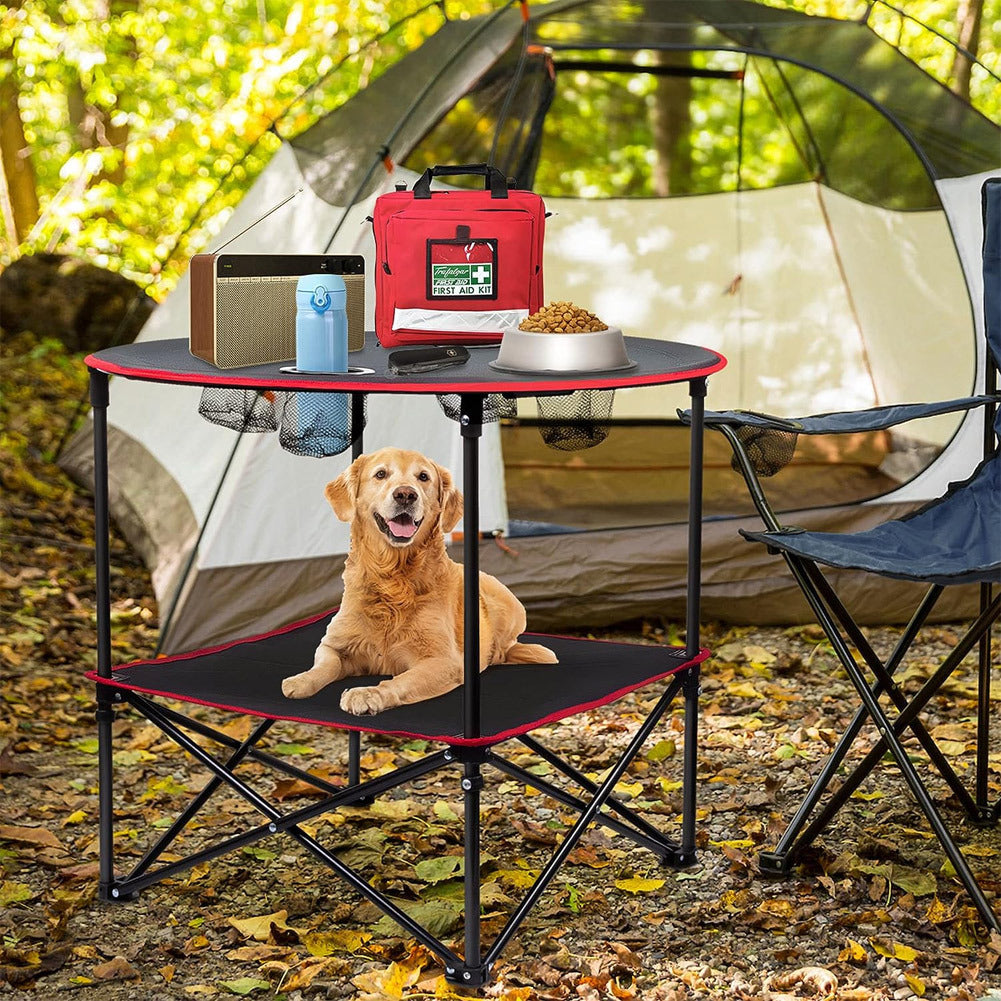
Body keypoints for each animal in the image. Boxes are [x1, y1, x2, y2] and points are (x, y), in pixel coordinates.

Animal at [282, 446, 556, 712]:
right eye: (381, 474)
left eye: (423, 477)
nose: (405, 494)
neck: (392, 578)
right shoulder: (333, 644)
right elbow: (325, 664)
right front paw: (300, 680)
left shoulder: (444, 661)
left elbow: (399, 680)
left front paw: (367, 693)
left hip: (507, 604)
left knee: (505, 646)